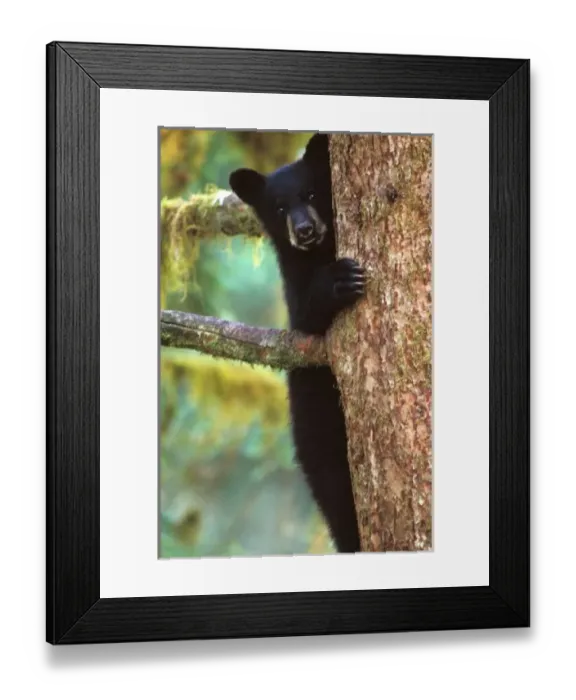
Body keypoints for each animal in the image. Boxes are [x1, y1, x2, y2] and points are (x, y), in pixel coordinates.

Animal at [229, 133, 365, 553]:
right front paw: (339, 280)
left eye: (311, 193)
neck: (321, 251)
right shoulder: (294, 279)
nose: (304, 230)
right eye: (279, 207)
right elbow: (305, 316)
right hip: (317, 436)